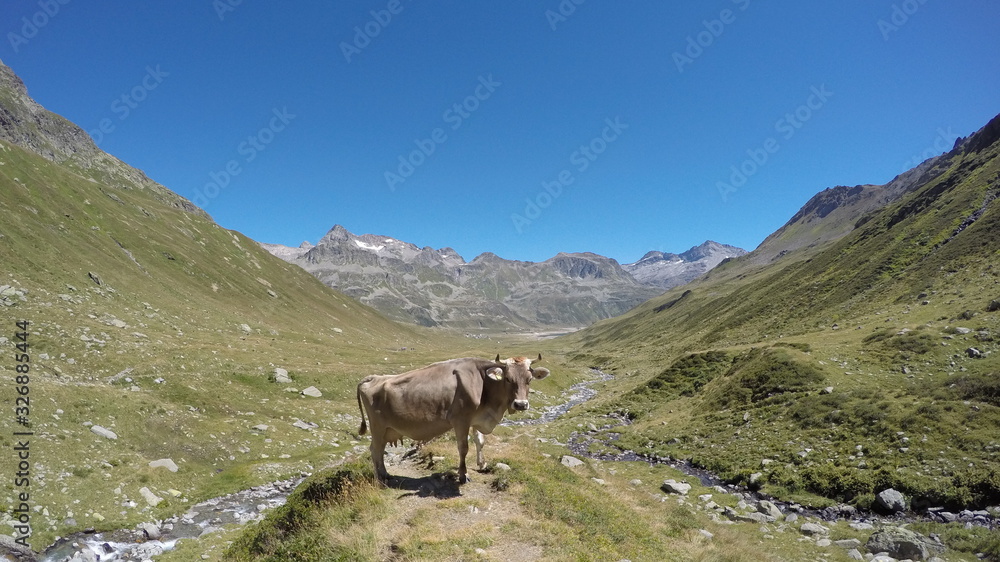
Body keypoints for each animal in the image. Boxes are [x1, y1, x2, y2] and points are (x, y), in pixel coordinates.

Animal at [358, 352, 552, 480]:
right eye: (508, 379)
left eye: (529, 379)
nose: (521, 404)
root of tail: (373, 378)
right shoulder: (460, 420)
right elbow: (463, 448)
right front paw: (463, 474)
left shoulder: (476, 418)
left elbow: (480, 441)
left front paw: (482, 464)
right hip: (377, 427)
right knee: (375, 450)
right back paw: (382, 477)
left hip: (386, 430)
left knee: (379, 449)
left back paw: (384, 473)